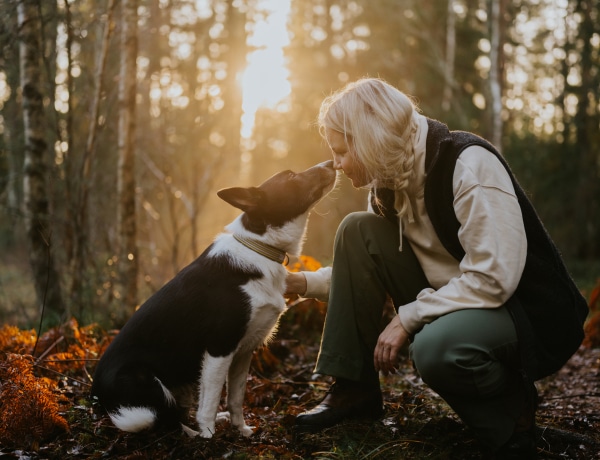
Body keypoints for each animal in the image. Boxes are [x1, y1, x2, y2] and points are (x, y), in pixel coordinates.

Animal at [92, 161, 338, 438]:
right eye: (291, 176)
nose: (331, 162)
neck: (259, 247)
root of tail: (97, 397)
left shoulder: (244, 351)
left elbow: (235, 398)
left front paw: (241, 430)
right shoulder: (219, 348)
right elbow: (210, 401)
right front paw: (209, 437)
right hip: (145, 384)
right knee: (163, 418)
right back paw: (193, 434)